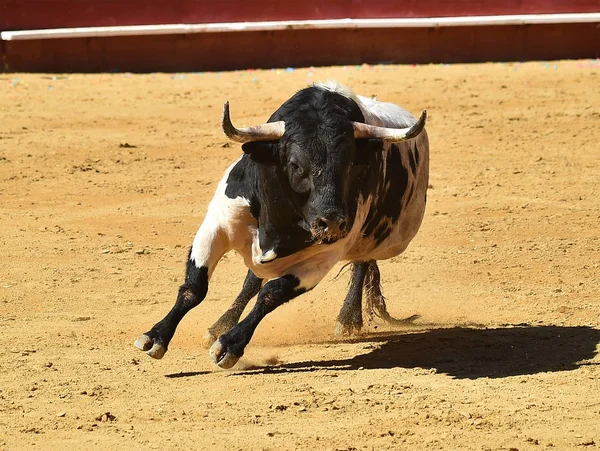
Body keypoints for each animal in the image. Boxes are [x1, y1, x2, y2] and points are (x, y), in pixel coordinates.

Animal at [134, 83, 428, 370]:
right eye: (295, 164)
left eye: (351, 165)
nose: (332, 222)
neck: (278, 224)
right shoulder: (216, 226)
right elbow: (194, 287)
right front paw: (155, 337)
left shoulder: (320, 260)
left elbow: (271, 295)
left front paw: (229, 345)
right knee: (252, 280)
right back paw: (218, 326)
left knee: (361, 263)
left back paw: (348, 320)